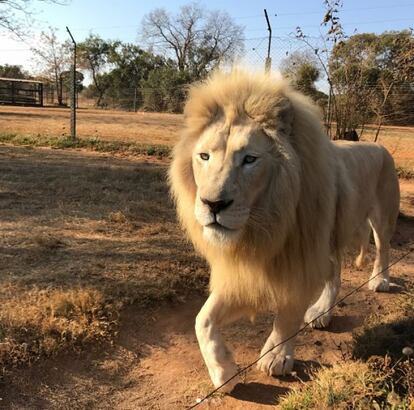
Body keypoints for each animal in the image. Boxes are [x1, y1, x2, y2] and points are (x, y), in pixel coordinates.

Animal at [168, 69, 402, 390]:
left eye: (250, 159)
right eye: (204, 157)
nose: (213, 204)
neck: (265, 224)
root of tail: (379, 146)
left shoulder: (301, 258)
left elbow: (288, 314)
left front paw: (275, 357)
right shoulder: (248, 270)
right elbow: (202, 320)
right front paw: (223, 370)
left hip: (381, 216)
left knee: (383, 249)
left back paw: (379, 280)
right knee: (335, 271)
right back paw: (322, 311)